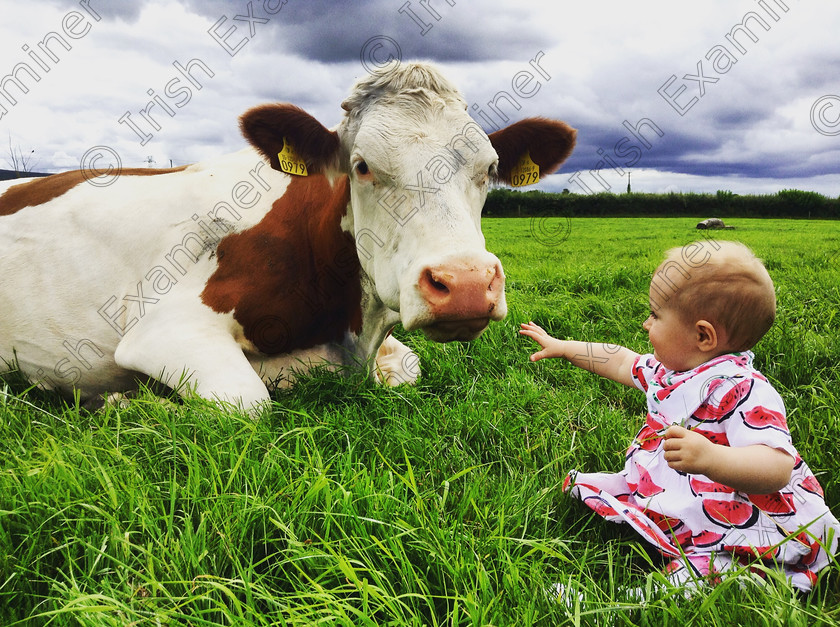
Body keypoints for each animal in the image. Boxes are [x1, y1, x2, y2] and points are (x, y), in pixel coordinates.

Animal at [0, 61, 576, 414]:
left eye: (490, 168)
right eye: (362, 166)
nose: (465, 284)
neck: (349, 325)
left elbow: (409, 367)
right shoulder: (163, 328)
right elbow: (247, 400)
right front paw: (124, 401)